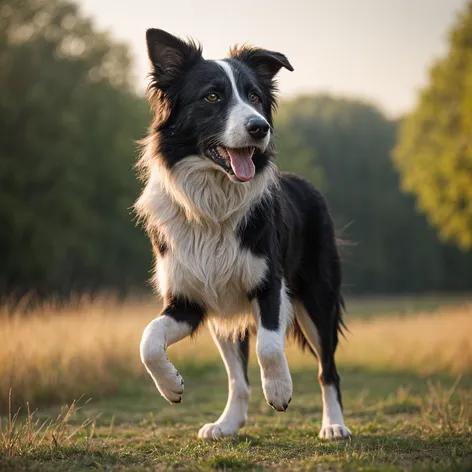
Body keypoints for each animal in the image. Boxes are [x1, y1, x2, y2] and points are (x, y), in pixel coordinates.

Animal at [136, 28, 350, 442]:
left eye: (254, 97)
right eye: (212, 96)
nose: (259, 127)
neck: (213, 203)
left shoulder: (270, 284)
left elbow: (269, 344)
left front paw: (280, 390)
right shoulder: (189, 300)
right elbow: (148, 339)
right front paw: (171, 386)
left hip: (318, 298)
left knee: (327, 369)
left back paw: (334, 425)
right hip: (223, 313)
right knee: (238, 379)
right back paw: (226, 424)